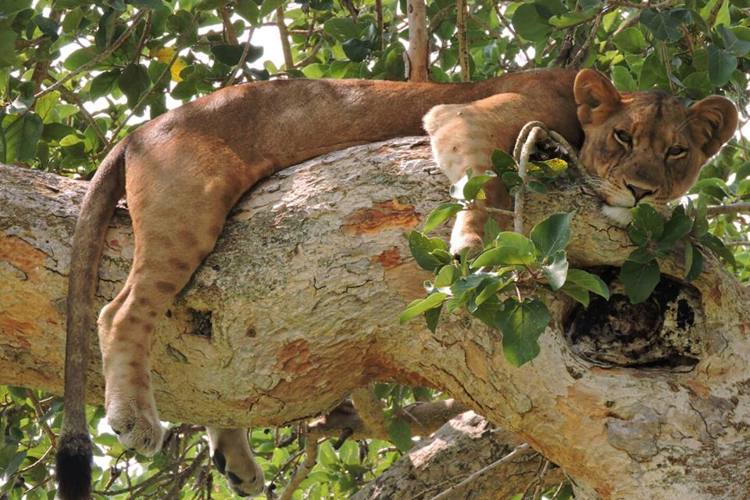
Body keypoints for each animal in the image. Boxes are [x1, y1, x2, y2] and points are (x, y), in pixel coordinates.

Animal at [55, 68, 737, 498]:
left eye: (677, 153)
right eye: (623, 137)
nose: (642, 190)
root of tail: (140, 130)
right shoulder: (464, 113)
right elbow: (486, 184)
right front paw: (471, 249)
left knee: (220, 378)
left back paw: (237, 462)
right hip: (187, 212)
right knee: (120, 312)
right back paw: (134, 419)